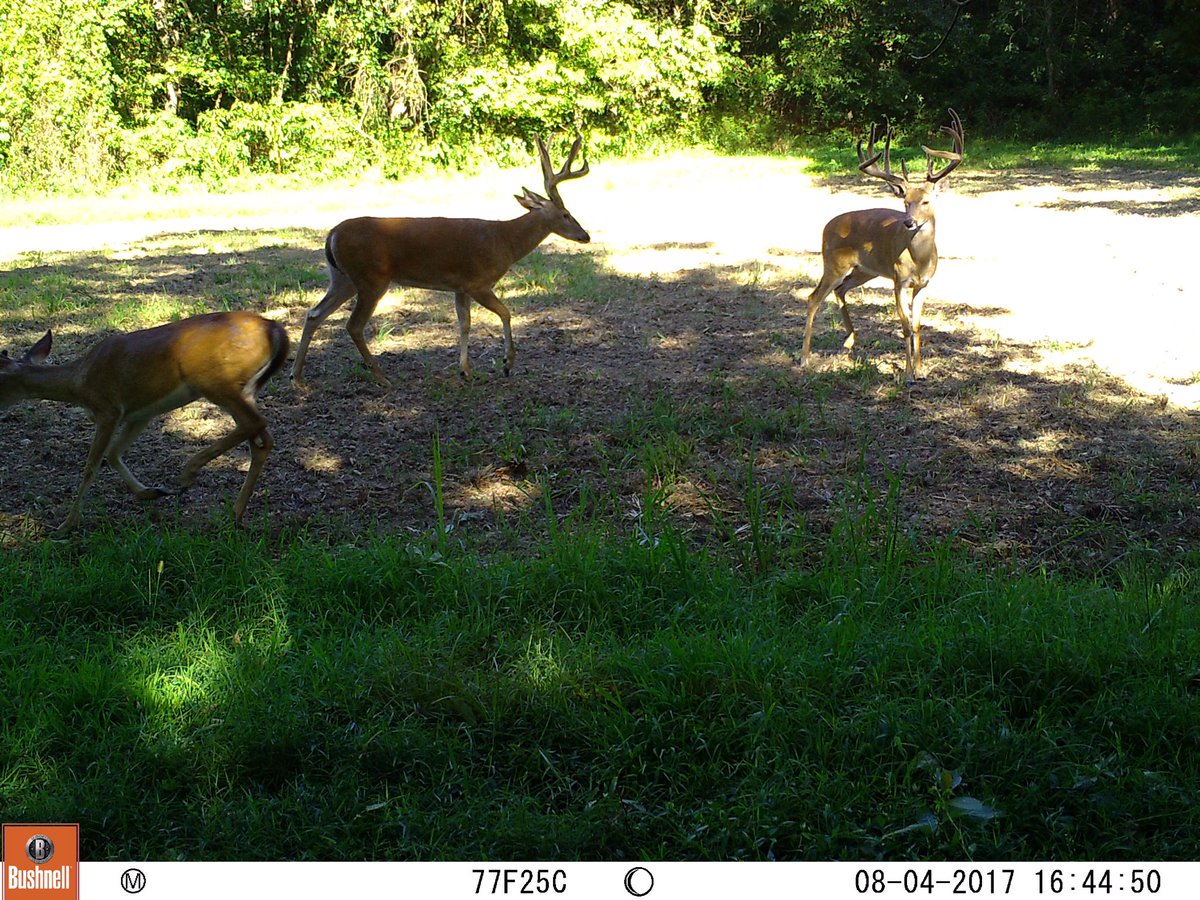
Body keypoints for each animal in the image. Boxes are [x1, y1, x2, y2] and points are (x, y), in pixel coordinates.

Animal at [0, 311, 289, 531]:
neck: (80, 381)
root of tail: (275, 329)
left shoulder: (108, 409)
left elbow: (91, 466)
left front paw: (66, 524)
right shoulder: (140, 414)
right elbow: (113, 455)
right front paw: (151, 492)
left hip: (217, 381)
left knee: (255, 424)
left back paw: (189, 472)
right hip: (242, 389)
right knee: (261, 439)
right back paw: (235, 514)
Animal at [291, 135, 592, 388]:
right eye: (566, 214)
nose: (586, 235)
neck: (505, 242)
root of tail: (331, 235)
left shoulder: (460, 287)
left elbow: (464, 323)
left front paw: (466, 370)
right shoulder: (478, 282)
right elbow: (505, 313)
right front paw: (507, 363)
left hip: (343, 278)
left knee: (314, 314)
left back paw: (298, 379)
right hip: (371, 278)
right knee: (353, 325)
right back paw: (381, 377)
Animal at [802, 109, 964, 382]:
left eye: (926, 201)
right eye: (905, 202)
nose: (909, 222)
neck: (919, 260)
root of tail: (827, 226)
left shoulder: (924, 284)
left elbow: (917, 325)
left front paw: (920, 370)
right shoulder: (899, 281)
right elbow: (905, 326)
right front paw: (908, 373)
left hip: (865, 270)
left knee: (841, 290)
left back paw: (850, 340)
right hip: (834, 263)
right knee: (814, 298)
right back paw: (804, 359)